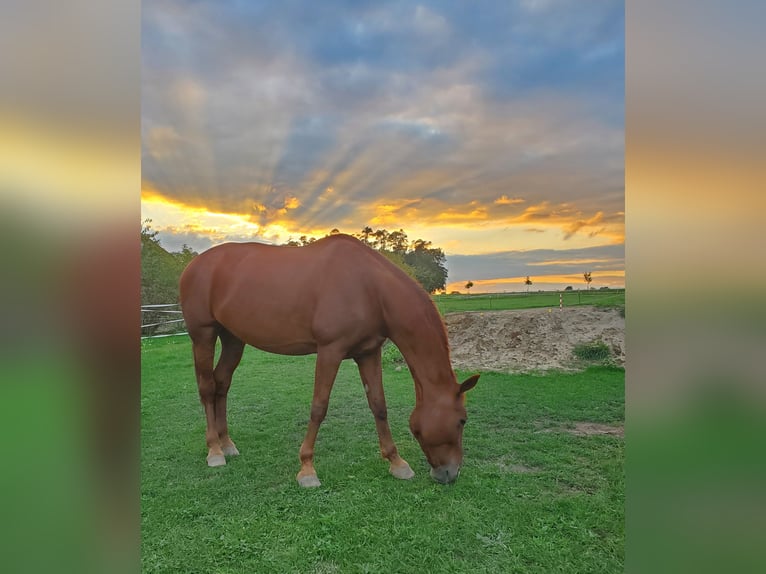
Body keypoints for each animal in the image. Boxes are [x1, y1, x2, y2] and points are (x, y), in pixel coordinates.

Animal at [179, 233, 479, 487]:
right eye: (462, 420)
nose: (449, 473)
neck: (369, 288)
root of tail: (194, 265)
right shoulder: (330, 351)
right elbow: (319, 407)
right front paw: (307, 469)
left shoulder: (368, 353)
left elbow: (378, 405)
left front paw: (397, 463)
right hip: (203, 335)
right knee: (207, 387)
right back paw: (214, 451)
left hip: (233, 339)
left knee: (221, 384)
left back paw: (227, 444)